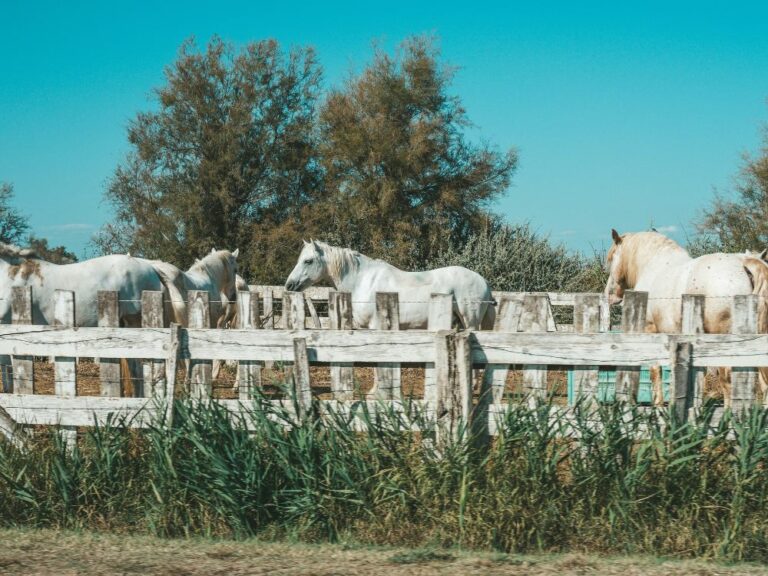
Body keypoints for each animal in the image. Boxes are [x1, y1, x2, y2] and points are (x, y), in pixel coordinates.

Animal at [604, 230, 768, 407]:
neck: (654, 265)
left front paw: (659, 405)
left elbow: (656, 370)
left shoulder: (651, 331)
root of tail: (743, 263)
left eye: (612, 259)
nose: (608, 295)